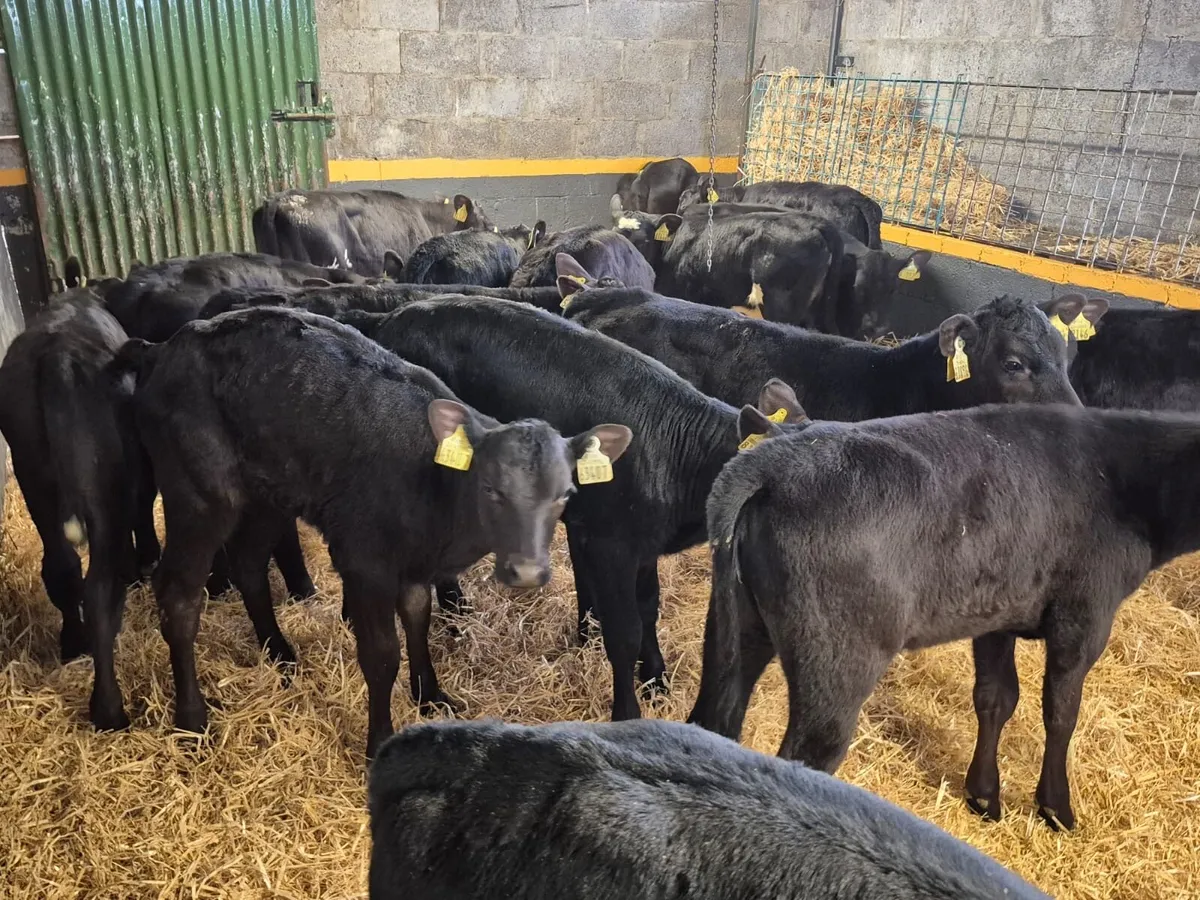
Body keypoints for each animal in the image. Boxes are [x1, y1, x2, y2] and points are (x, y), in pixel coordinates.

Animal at [0, 290, 158, 730]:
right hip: (103, 485)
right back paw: (109, 709)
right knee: (100, 586)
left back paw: (74, 643)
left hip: (34, 476)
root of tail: (58, 354)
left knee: (62, 569)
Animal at [118, 306, 630, 758]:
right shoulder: (365, 560)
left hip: (268, 493)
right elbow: (382, 655)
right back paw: (192, 720)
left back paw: (280, 653)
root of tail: (167, 346)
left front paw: (431, 695)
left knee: (248, 563)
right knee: (180, 595)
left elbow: (419, 619)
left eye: (566, 493)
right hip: (199, 493)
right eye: (490, 488)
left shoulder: (415, 564)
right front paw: (378, 741)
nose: (527, 572)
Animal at [336, 296, 808, 721]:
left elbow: (648, 608)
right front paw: (627, 712)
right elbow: (625, 631)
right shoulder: (610, 544)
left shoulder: (639, 543)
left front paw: (655, 680)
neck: (678, 459)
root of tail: (394, 317)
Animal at [690, 401, 1200, 831]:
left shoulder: (997, 611)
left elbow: (996, 697)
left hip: (735, 629)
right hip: (837, 661)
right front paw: (1056, 807)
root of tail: (777, 456)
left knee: (713, 716)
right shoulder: (1084, 614)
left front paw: (984, 795)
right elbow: (1061, 712)